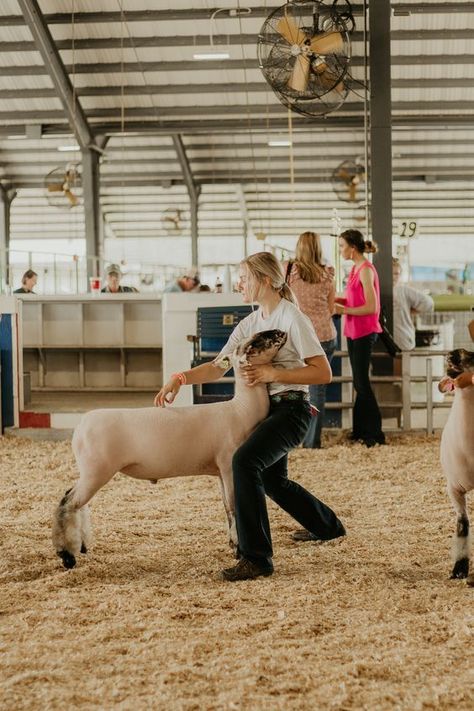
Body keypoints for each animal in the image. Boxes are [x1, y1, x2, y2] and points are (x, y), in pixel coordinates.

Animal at [53, 330, 286, 572]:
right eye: (252, 343)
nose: (281, 332)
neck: (241, 410)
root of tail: (81, 425)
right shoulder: (229, 464)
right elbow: (233, 508)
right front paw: (239, 550)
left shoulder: (222, 470)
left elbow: (226, 507)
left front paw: (234, 546)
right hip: (96, 471)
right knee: (68, 503)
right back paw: (67, 556)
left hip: (90, 472)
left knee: (76, 502)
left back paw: (82, 546)